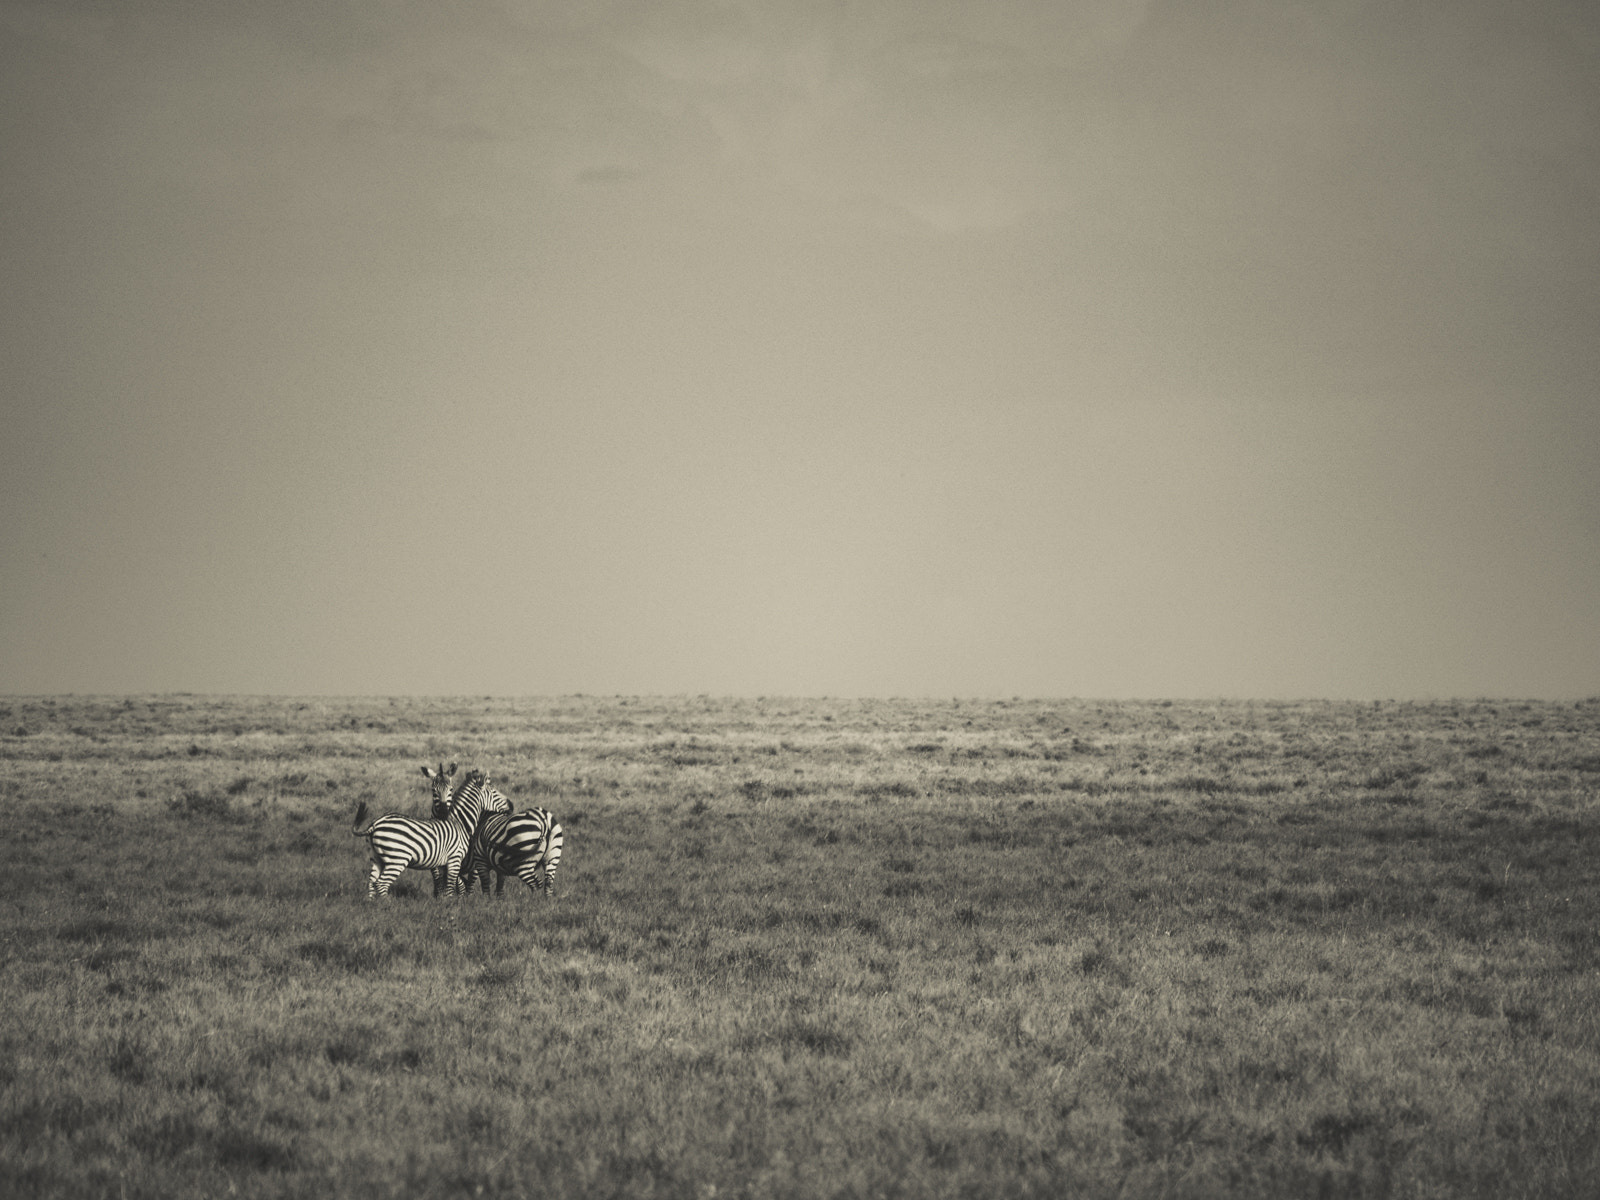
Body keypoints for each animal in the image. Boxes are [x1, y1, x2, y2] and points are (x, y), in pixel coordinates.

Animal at [351, 763, 509, 899]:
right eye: (494, 792)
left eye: (451, 790)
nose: (511, 806)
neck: (460, 821)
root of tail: (376, 823)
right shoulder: (454, 859)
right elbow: (451, 886)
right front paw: (451, 905)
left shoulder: (442, 864)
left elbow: (446, 884)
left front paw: (443, 901)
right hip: (397, 859)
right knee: (381, 883)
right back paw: (387, 905)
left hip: (376, 858)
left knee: (372, 882)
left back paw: (373, 905)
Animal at [433, 772, 564, 898]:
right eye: (494, 792)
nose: (511, 805)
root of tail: (544, 820)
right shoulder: (497, 865)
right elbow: (498, 888)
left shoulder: (478, 861)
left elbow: (480, 886)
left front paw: (478, 902)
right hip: (552, 858)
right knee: (548, 886)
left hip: (523, 864)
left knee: (536, 884)